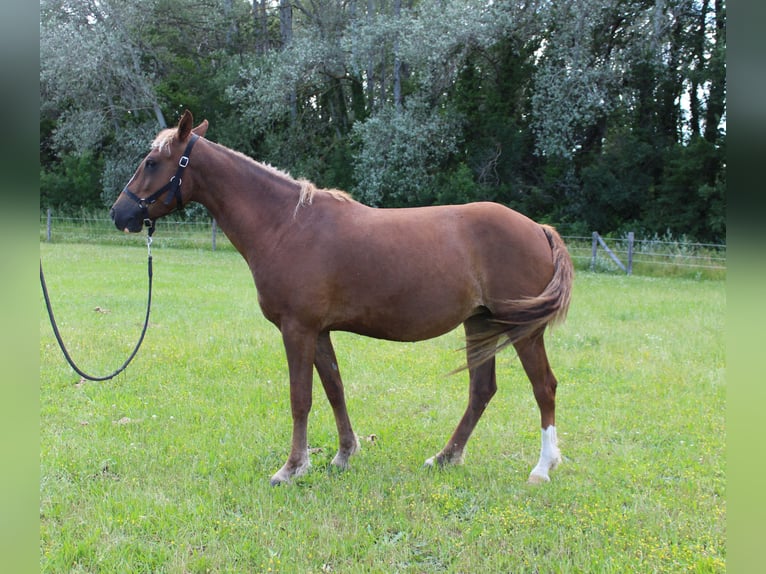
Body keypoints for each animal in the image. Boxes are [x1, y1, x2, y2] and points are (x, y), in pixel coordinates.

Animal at [109, 109, 576, 486]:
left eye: (152, 162)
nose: (119, 213)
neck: (287, 225)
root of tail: (538, 229)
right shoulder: (318, 331)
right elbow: (334, 388)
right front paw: (342, 456)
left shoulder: (297, 329)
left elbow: (301, 398)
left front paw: (291, 468)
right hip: (479, 323)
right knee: (482, 391)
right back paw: (445, 457)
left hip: (522, 330)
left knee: (544, 387)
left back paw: (542, 468)